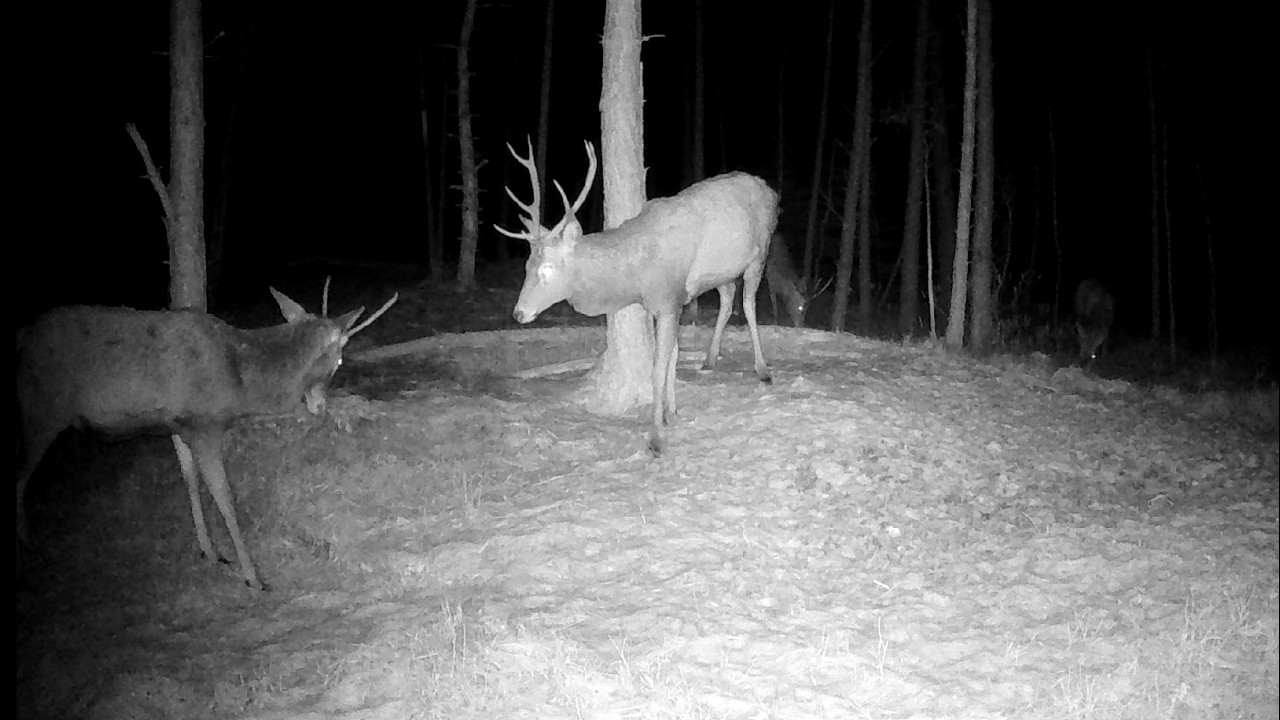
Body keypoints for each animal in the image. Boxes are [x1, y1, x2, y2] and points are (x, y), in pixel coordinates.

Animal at [15, 283, 397, 590]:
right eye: (338, 359)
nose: (320, 406)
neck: (242, 382)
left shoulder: (180, 425)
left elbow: (189, 478)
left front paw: (210, 552)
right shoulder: (206, 425)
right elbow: (225, 498)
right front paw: (253, 576)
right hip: (41, 409)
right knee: (19, 476)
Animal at [496, 139, 779, 455]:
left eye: (547, 269)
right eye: (526, 266)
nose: (519, 312)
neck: (637, 275)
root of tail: (770, 189)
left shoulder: (668, 300)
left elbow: (658, 367)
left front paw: (656, 438)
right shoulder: (671, 301)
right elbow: (673, 356)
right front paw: (670, 412)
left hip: (761, 250)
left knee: (748, 303)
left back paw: (763, 369)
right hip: (722, 272)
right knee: (728, 297)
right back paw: (709, 359)